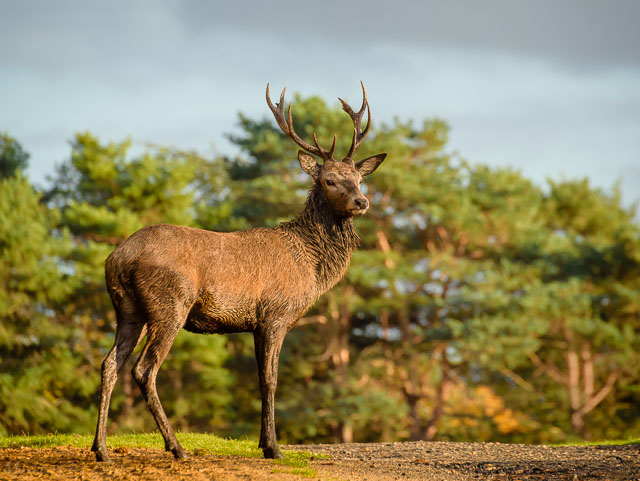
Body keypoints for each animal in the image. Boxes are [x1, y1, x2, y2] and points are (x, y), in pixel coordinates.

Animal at [91, 83, 387, 462]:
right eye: (330, 180)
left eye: (360, 179)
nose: (361, 202)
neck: (311, 265)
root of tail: (117, 257)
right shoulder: (276, 314)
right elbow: (271, 379)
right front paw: (274, 447)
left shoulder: (255, 322)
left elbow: (261, 379)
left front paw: (263, 442)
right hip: (169, 304)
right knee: (144, 369)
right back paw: (176, 447)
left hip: (127, 309)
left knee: (109, 364)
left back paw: (101, 449)